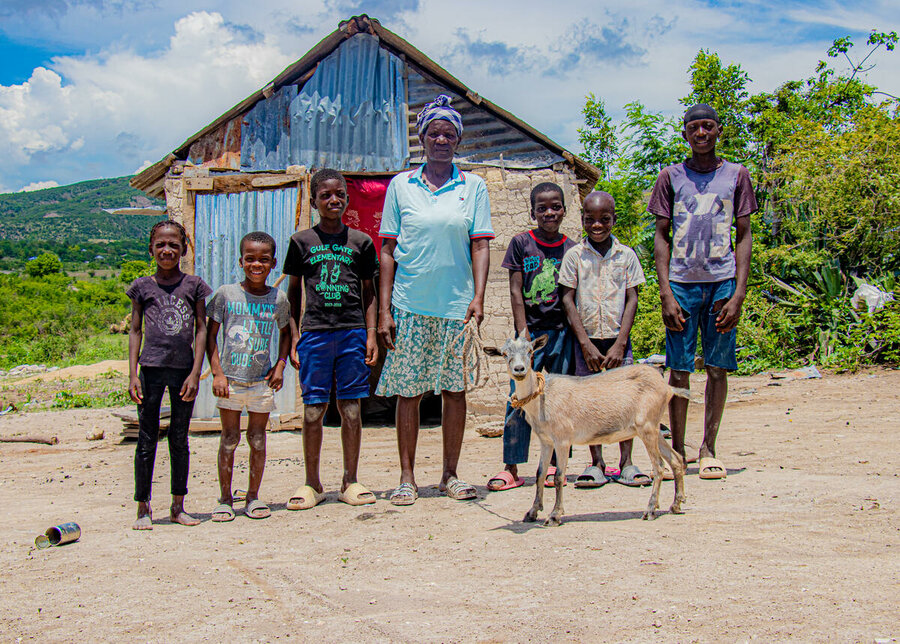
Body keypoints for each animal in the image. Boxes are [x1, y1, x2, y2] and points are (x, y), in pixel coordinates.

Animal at [488, 334, 684, 524]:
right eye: (504, 354)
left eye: (530, 351)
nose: (519, 369)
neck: (542, 398)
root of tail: (667, 387)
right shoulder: (546, 441)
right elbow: (540, 474)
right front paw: (532, 512)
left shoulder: (562, 439)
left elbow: (559, 476)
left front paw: (555, 515)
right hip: (654, 427)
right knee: (676, 459)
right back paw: (676, 504)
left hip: (647, 426)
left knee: (659, 466)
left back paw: (650, 510)